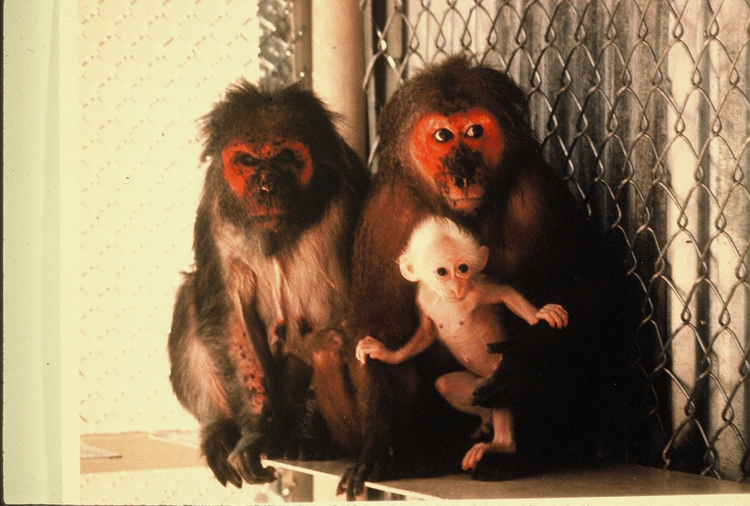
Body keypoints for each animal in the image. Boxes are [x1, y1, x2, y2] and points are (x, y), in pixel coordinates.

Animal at [168, 80, 369, 488]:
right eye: (247, 161)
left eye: (287, 157)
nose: (267, 185)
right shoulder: (214, 208)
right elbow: (228, 317)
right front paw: (254, 433)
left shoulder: (350, 197)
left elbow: (343, 316)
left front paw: (310, 436)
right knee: (190, 300)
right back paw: (221, 429)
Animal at [354, 216, 569, 471]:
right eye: (442, 272)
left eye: (463, 269)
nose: (456, 287)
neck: (447, 300)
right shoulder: (424, 301)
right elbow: (425, 334)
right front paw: (387, 354)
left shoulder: (477, 291)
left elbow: (506, 293)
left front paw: (539, 314)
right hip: (477, 386)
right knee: (445, 385)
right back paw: (486, 420)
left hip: (493, 379)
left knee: (501, 394)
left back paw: (501, 445)